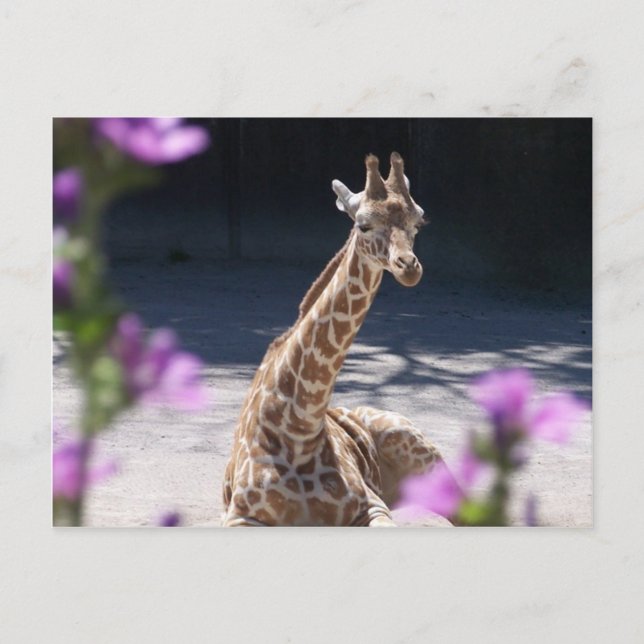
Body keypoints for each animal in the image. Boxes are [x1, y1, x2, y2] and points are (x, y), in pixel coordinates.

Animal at [222, 152, 447, 527]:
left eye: (418, 223)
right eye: (363, 225)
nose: (409, 267)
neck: (300, 429)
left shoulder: (372, 506)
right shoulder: (240, 515)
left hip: (415, 445)